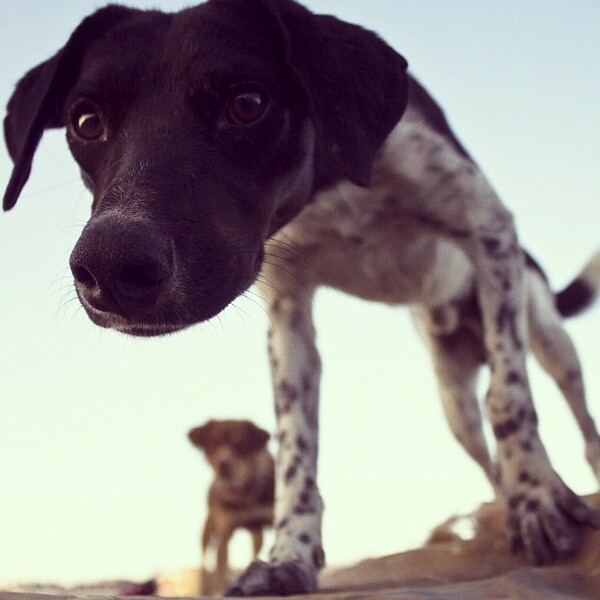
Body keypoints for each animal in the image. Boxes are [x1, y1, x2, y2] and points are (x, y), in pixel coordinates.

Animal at [189, 420, 276, 592]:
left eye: (241, 444)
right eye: (213, 443)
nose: (223, 464)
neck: (243, 491)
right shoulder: (225, 533)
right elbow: (220, 568)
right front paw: (219, 589)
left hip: (256, 533)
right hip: (208, 528)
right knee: (205, 559)